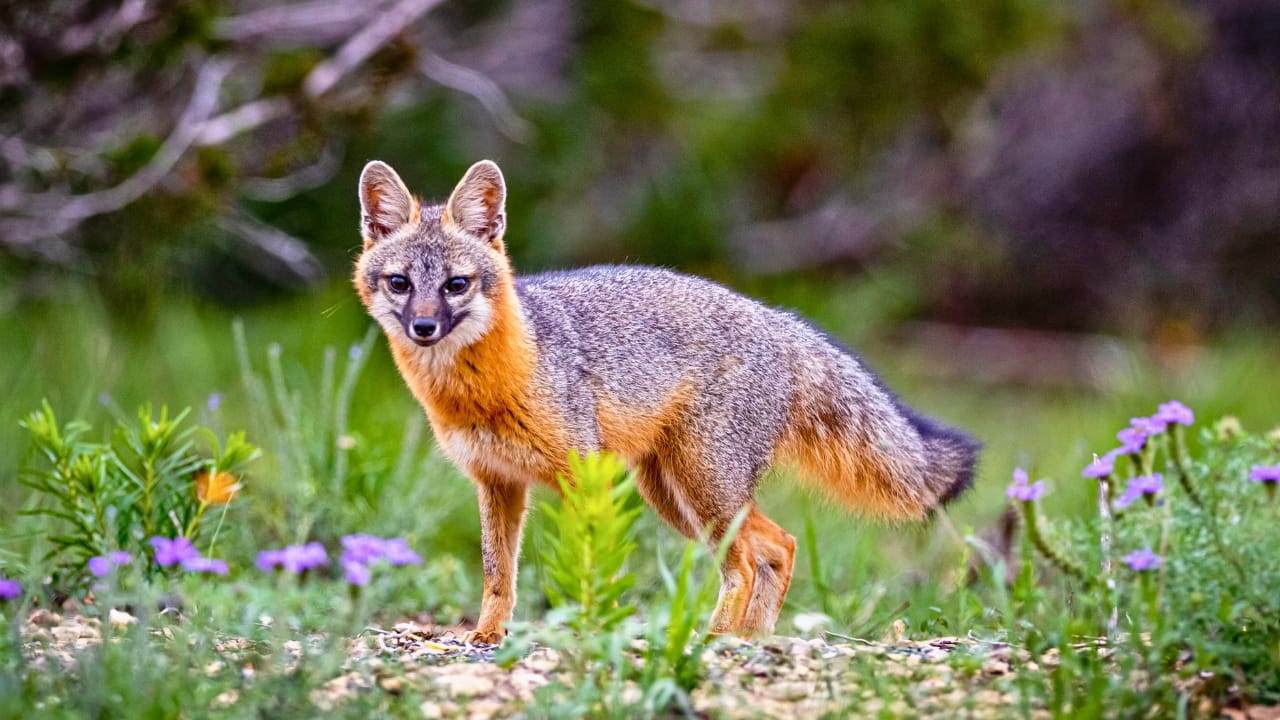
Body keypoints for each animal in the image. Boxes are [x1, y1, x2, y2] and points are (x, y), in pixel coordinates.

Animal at [353, 159, 978, 643]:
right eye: (400, 283)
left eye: (455, 285)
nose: (424, 328)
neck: (483, 389)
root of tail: (777, 319)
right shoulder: (497, 481)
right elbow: (497, 574)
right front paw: (487, 633)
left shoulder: (583, 476)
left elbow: (589, 564)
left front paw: (590, 625)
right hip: (676, 495)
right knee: (778, 545)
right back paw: (751, 639)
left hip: (702, 488)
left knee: (748, 561)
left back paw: (717, 636)